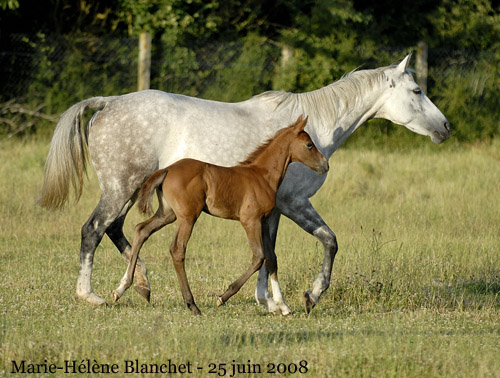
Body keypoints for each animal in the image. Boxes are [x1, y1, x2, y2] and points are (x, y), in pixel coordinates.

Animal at [112, 116, 328, 316]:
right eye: (309, 145)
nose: (325, 165)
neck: (262, 176)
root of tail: (166, 169)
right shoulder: (250, 221)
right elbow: (259, 257)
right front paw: (223, 297)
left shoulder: (264, 222)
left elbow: (272, 259)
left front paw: (283, 306)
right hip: (187, 217)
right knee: (177, 250)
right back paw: (192, 305)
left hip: (168, 214)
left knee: (141, 230)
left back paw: (122, 289)